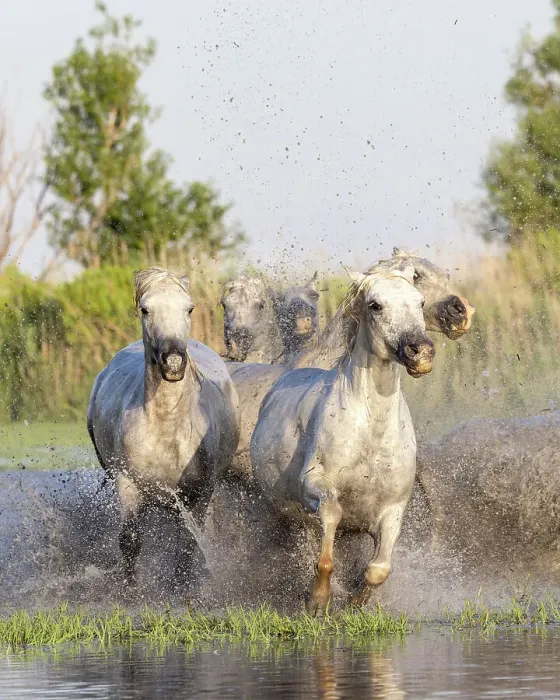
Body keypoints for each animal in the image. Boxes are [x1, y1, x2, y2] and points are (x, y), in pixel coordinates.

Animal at [87, 267, 239, 593]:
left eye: (189, 309)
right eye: (146, 310)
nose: (173, 362)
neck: (166, 430)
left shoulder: (199, 493)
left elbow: (189, 543)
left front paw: (180, 589)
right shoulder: (127, 485)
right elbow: (130, 540)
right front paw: (130, 591)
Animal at [250, 264, 435, 614]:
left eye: (420, 301)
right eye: (375, 305)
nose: (421, 352)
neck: (371, 433)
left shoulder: (394, 509)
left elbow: (379, 569)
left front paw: (354, 603)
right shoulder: (317, 486)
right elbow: (327, 546)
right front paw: (317, 602)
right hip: (286, 516)